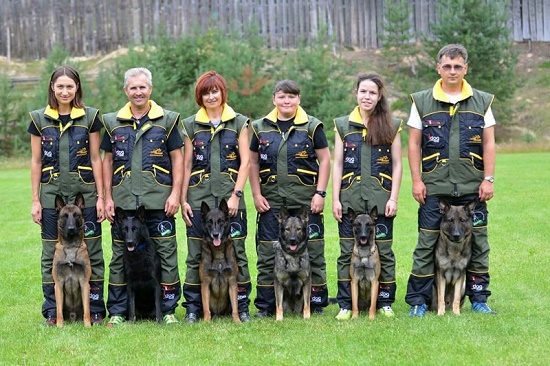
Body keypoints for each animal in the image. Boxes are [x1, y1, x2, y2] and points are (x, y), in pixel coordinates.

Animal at [51, 193, 91, 328]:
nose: (71, 228)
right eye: (65, 216)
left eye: (76, 215)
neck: (71, 247)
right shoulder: (58, 284)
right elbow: (58, 311)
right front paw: (59, 326)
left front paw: (88, 326)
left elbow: (87, 310)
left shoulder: (84, 283)